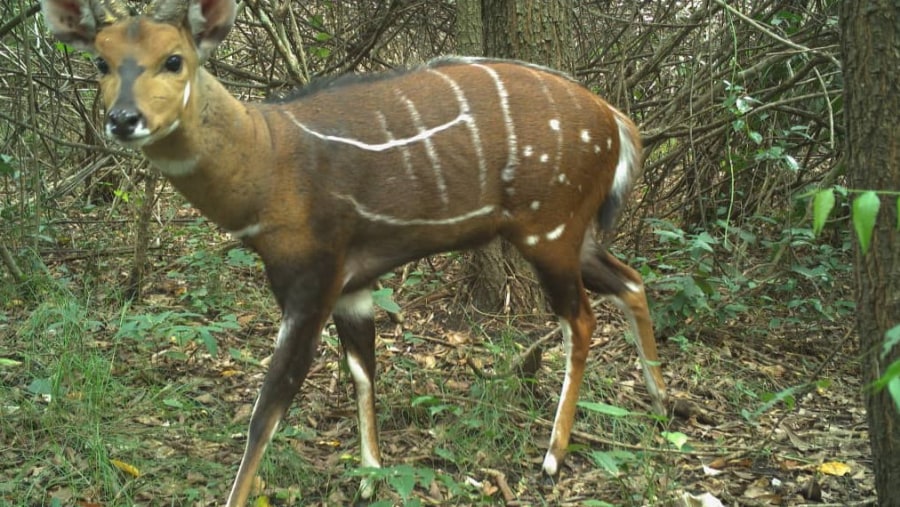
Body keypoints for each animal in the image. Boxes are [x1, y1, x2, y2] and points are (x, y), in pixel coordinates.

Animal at [40, 0, 668, 502]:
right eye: (100, 62)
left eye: (174, 59)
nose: (123, 120)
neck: (268, 163)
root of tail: (617, 120)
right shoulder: (355, 285)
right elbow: (364, 370)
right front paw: (369, 477)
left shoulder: (311, 280)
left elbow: (269, 406)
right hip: (574, 235)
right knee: (630, 279)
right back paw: (664, 402)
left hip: (549, 231)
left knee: (580, 320)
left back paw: (553, 458)